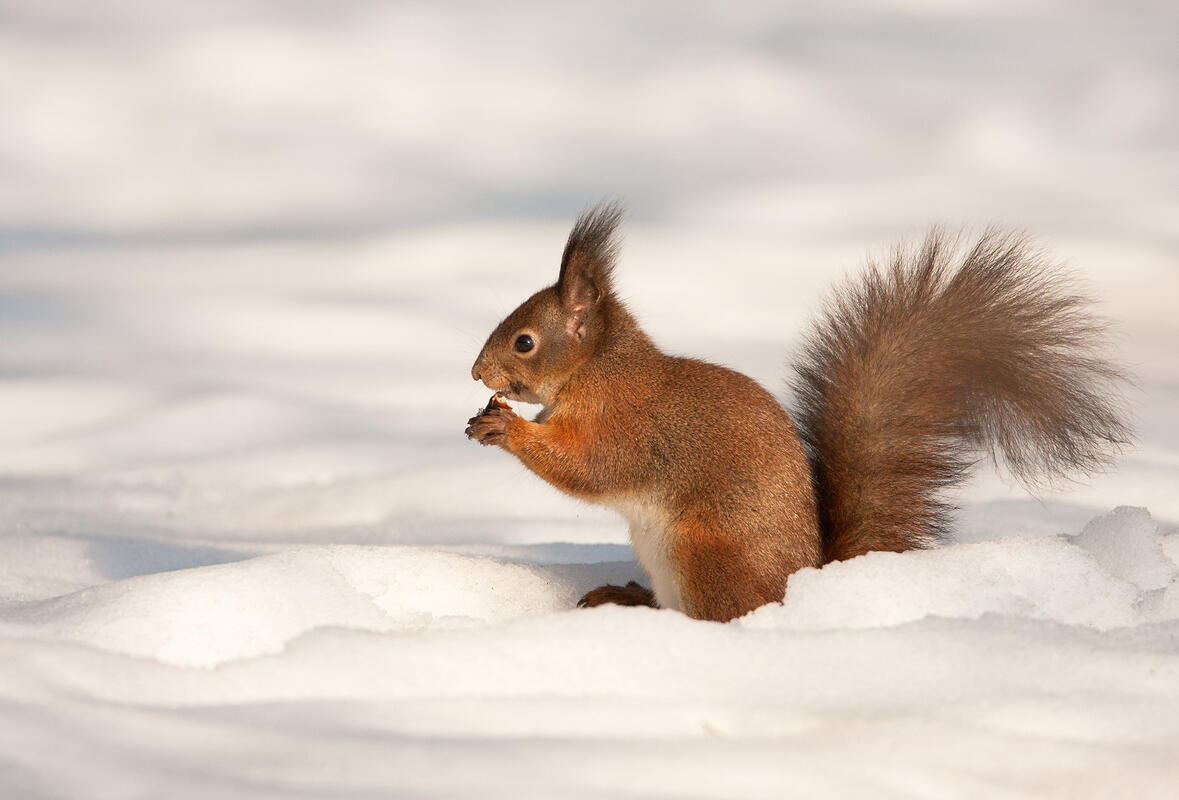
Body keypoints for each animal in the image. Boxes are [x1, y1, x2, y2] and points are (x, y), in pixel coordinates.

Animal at [466, 202, 1130, 622]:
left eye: (524, 342)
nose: (476, 373)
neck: (599, 369)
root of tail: (803, 581)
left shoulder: (629, 426)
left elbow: (590, 467)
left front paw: (505, 427)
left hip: (704, 553)